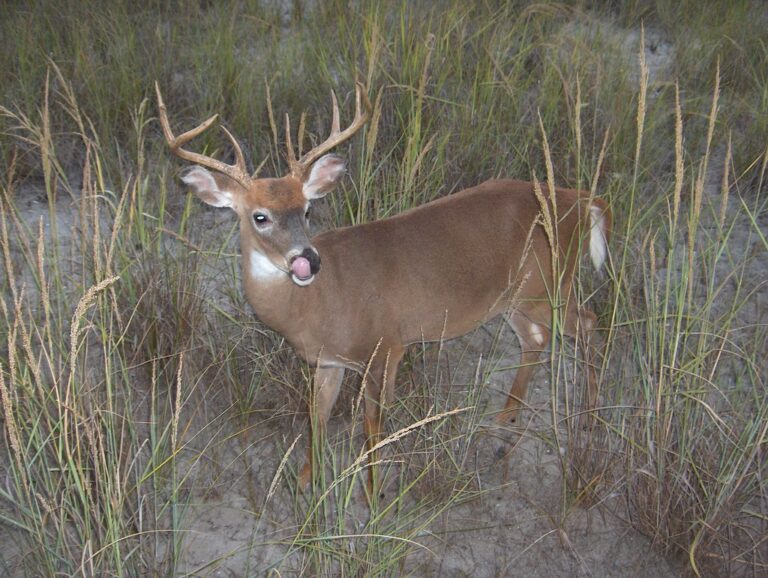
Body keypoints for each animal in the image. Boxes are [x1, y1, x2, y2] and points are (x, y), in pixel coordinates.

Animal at [155, 81, 611, 494]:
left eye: (307, 208)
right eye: (260, 216)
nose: (308, 260)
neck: (320, 303)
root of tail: (581, 199)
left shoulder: (385, 346)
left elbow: (372, 427)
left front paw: (372, 494)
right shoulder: (328, 360)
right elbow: (316, 417)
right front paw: (303, 482)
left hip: (548, 284)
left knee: (589, 323)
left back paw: (590, 418)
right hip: (515, 298)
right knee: (536, 339)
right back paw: (505, 419)